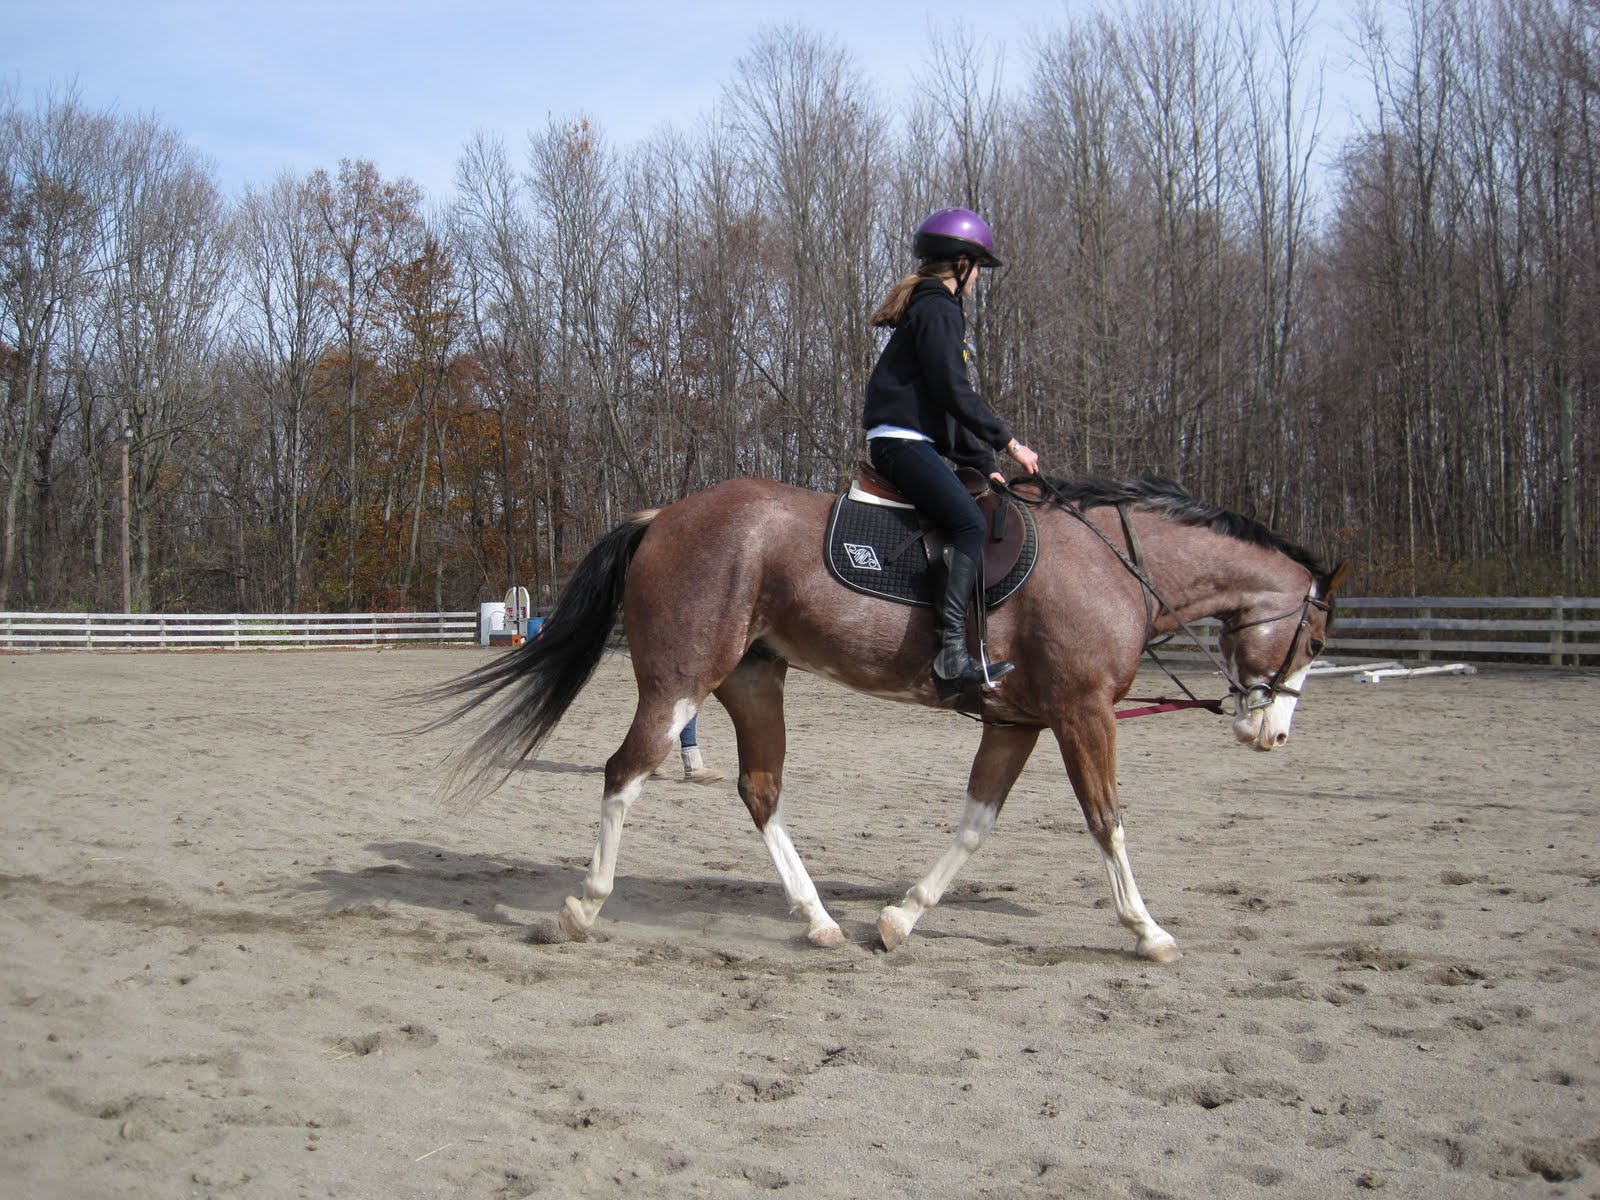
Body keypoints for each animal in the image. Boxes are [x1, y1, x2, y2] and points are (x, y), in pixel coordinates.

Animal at [425, 473, 1345, 963]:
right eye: (1317, 635)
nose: (1272, 733)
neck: (1116, 567)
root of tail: (662, 517)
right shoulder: (1085, 715)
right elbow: (1106, 819)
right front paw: (1147, 930)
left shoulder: (1016, 722)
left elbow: (976, 822)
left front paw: (900, 917)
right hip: (680, 681)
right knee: (626, 774)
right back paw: (584, 907)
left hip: (753, 683)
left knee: (761, 792)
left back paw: (820, 921)